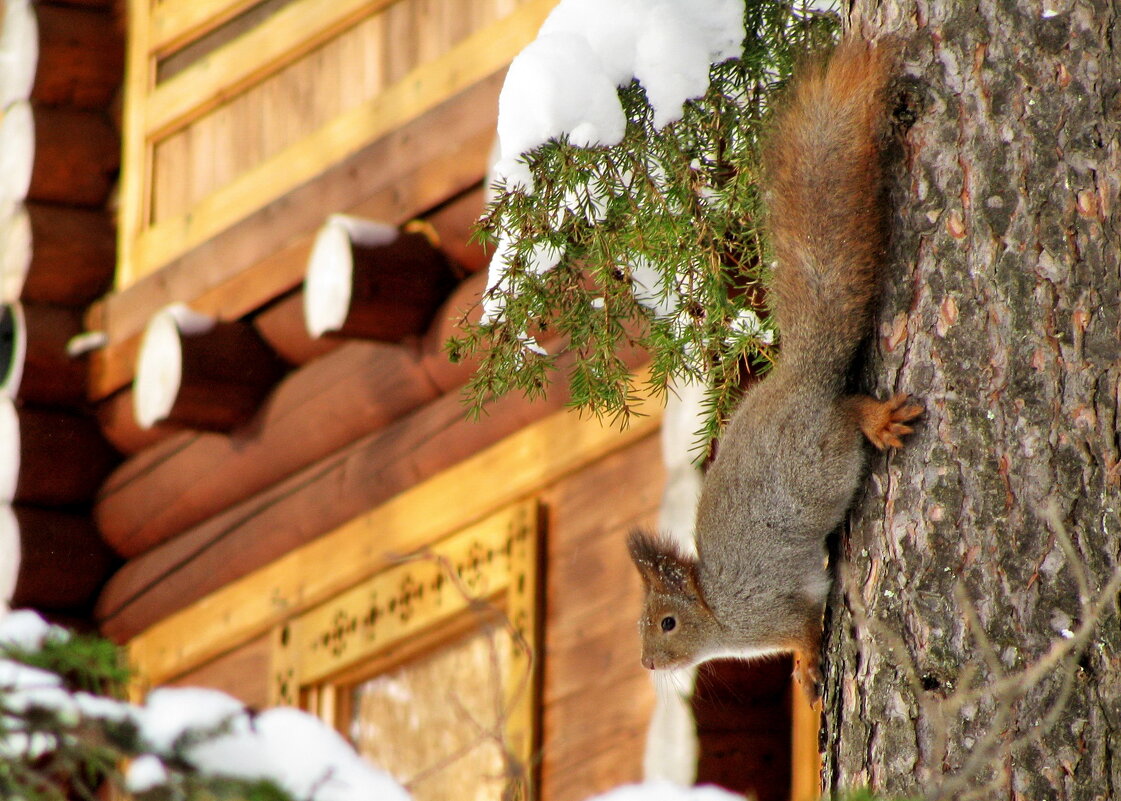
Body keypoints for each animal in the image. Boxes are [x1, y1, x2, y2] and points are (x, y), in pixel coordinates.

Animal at [623, 37, 919, 694]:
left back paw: (878, 420)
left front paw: (807, 665)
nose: (647, 663)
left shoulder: (776, 608)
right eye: (643, 626)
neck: (721, 615)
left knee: (848, 409)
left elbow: (806, 626)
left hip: (821, 455)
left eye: (668, 624)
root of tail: (801, 376)